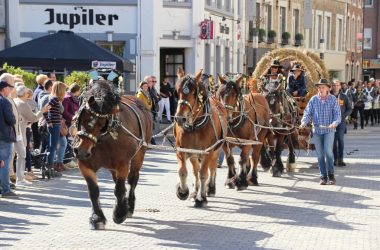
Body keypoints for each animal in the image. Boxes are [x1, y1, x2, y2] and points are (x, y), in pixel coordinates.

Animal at [72, 80, 153, 229]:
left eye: (100, 123)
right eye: (80, 117)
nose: (80, 150)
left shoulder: (123, 164)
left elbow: (120, 189)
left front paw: (120, 214)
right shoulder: (85, 165)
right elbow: (93, 191)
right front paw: (97, 218)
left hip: (139, 154)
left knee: (132, 180)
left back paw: (129, 207)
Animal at [174, 68, 227, 207]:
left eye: (194, 93)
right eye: (177, 91)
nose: (180, 118)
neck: (194, 126)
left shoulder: (208, 152)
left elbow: (204, 174)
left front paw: (202, 198)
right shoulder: (182, 150)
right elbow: (183, 171)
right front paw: (183, 191)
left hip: (216, 150)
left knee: (212, 168)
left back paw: (210, 188)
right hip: (194, 154)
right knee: (195, 170)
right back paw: (194, 192)